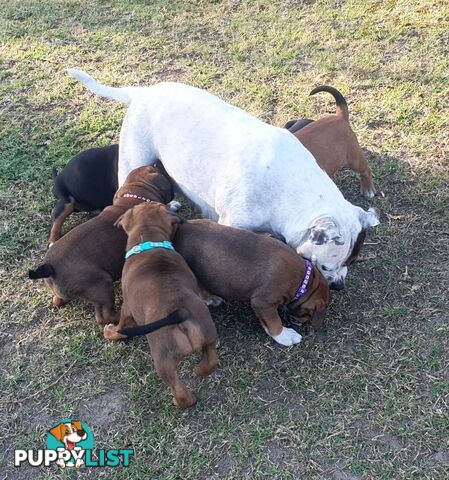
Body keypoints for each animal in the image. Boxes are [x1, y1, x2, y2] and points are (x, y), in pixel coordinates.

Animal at [68, 70, 378, 292]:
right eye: (326, 267)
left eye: (353, 261)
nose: (338, 286)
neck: (290, 193)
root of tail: (144, 92)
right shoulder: (233, 224)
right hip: (134, 159)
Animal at [105, 202, 217, 408]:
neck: (150, 239)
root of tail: (180, 313)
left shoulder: (127, 308)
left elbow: (122, 326)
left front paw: (111, 332)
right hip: (208, 335)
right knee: (211, 360)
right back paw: (199, 371)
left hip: (162, 360)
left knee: (181, 392)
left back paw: (177, 401)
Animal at [173, 219, 330, 346]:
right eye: (308, 315)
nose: (303, 323)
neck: (305, 283)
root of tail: (182, 227)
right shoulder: (263, 303)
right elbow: (274, 322)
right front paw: (284, 336)